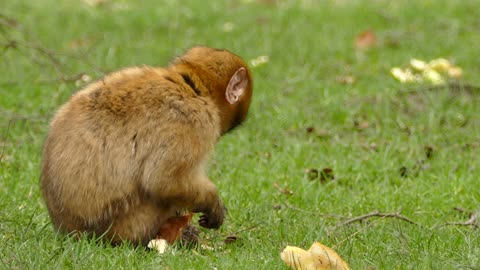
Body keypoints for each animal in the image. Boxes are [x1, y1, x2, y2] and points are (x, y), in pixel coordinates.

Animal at [40, 46, 255, 245]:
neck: (192, 88)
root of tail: (69, 231)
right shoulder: (193, 120)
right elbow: (163, 181)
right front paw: (213, 203)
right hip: (127, 224)